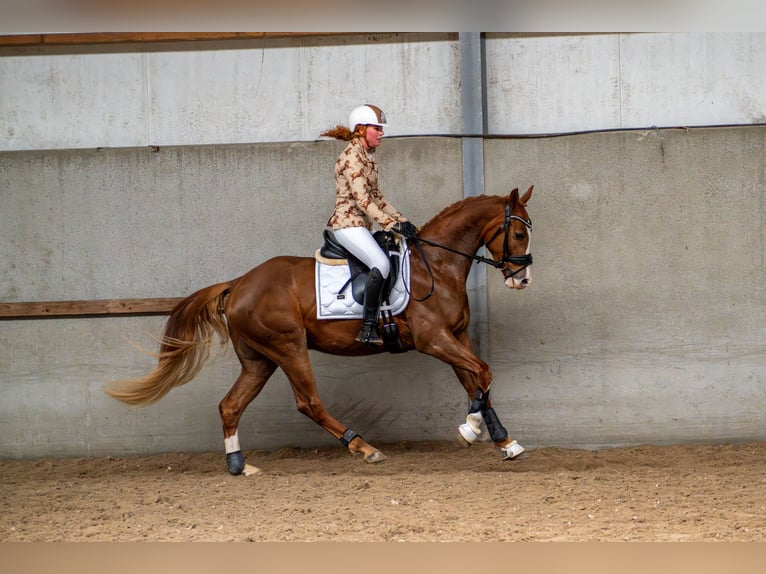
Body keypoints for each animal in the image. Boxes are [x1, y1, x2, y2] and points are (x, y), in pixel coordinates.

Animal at [105, 187, 536, 474]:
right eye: (518, 233)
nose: (522, 279)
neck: (437, 265)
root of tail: (240, 282)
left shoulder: (457, 336)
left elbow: (476, 381)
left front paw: (503, 440)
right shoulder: (434, 340)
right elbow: (483, 373)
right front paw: (470, 430)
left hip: (259, 360)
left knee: (230, 405)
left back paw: (239, 465)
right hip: (289, 348)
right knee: (308, 402)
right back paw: (363, 448)